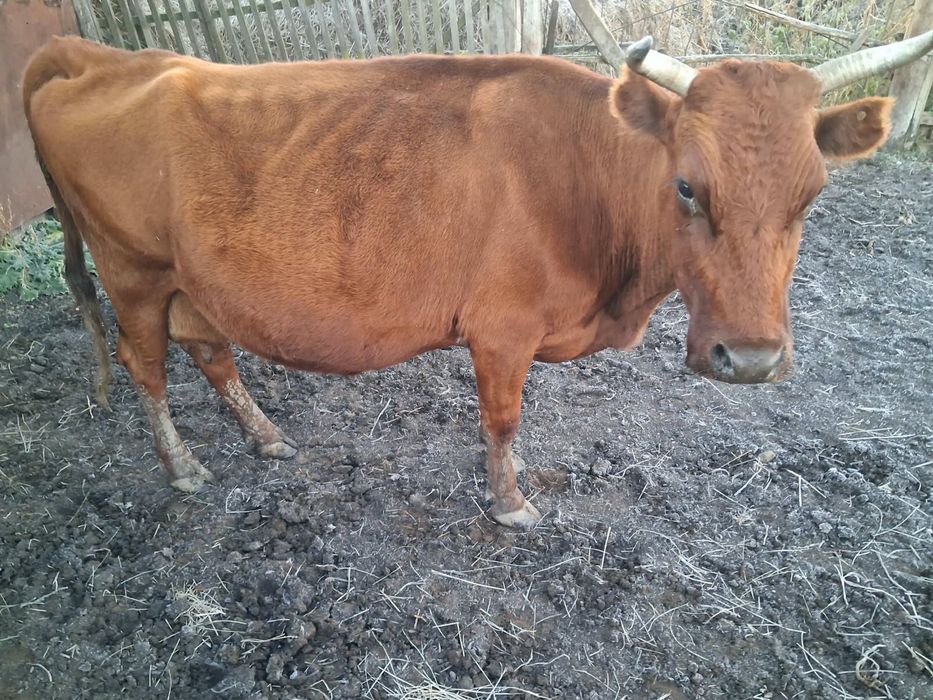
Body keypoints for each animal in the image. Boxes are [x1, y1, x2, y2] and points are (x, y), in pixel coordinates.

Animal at [23, 31, 933, 527]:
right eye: (686, 186)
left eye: (812, 195)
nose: (748, 359)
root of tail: (102, 57)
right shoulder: (501, 329)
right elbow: (502, 421)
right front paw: (510, 503)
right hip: (133, 272)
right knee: (145, 368)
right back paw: (181, 468)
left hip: (193, 282)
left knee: (210, 352)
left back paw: (267, 438)